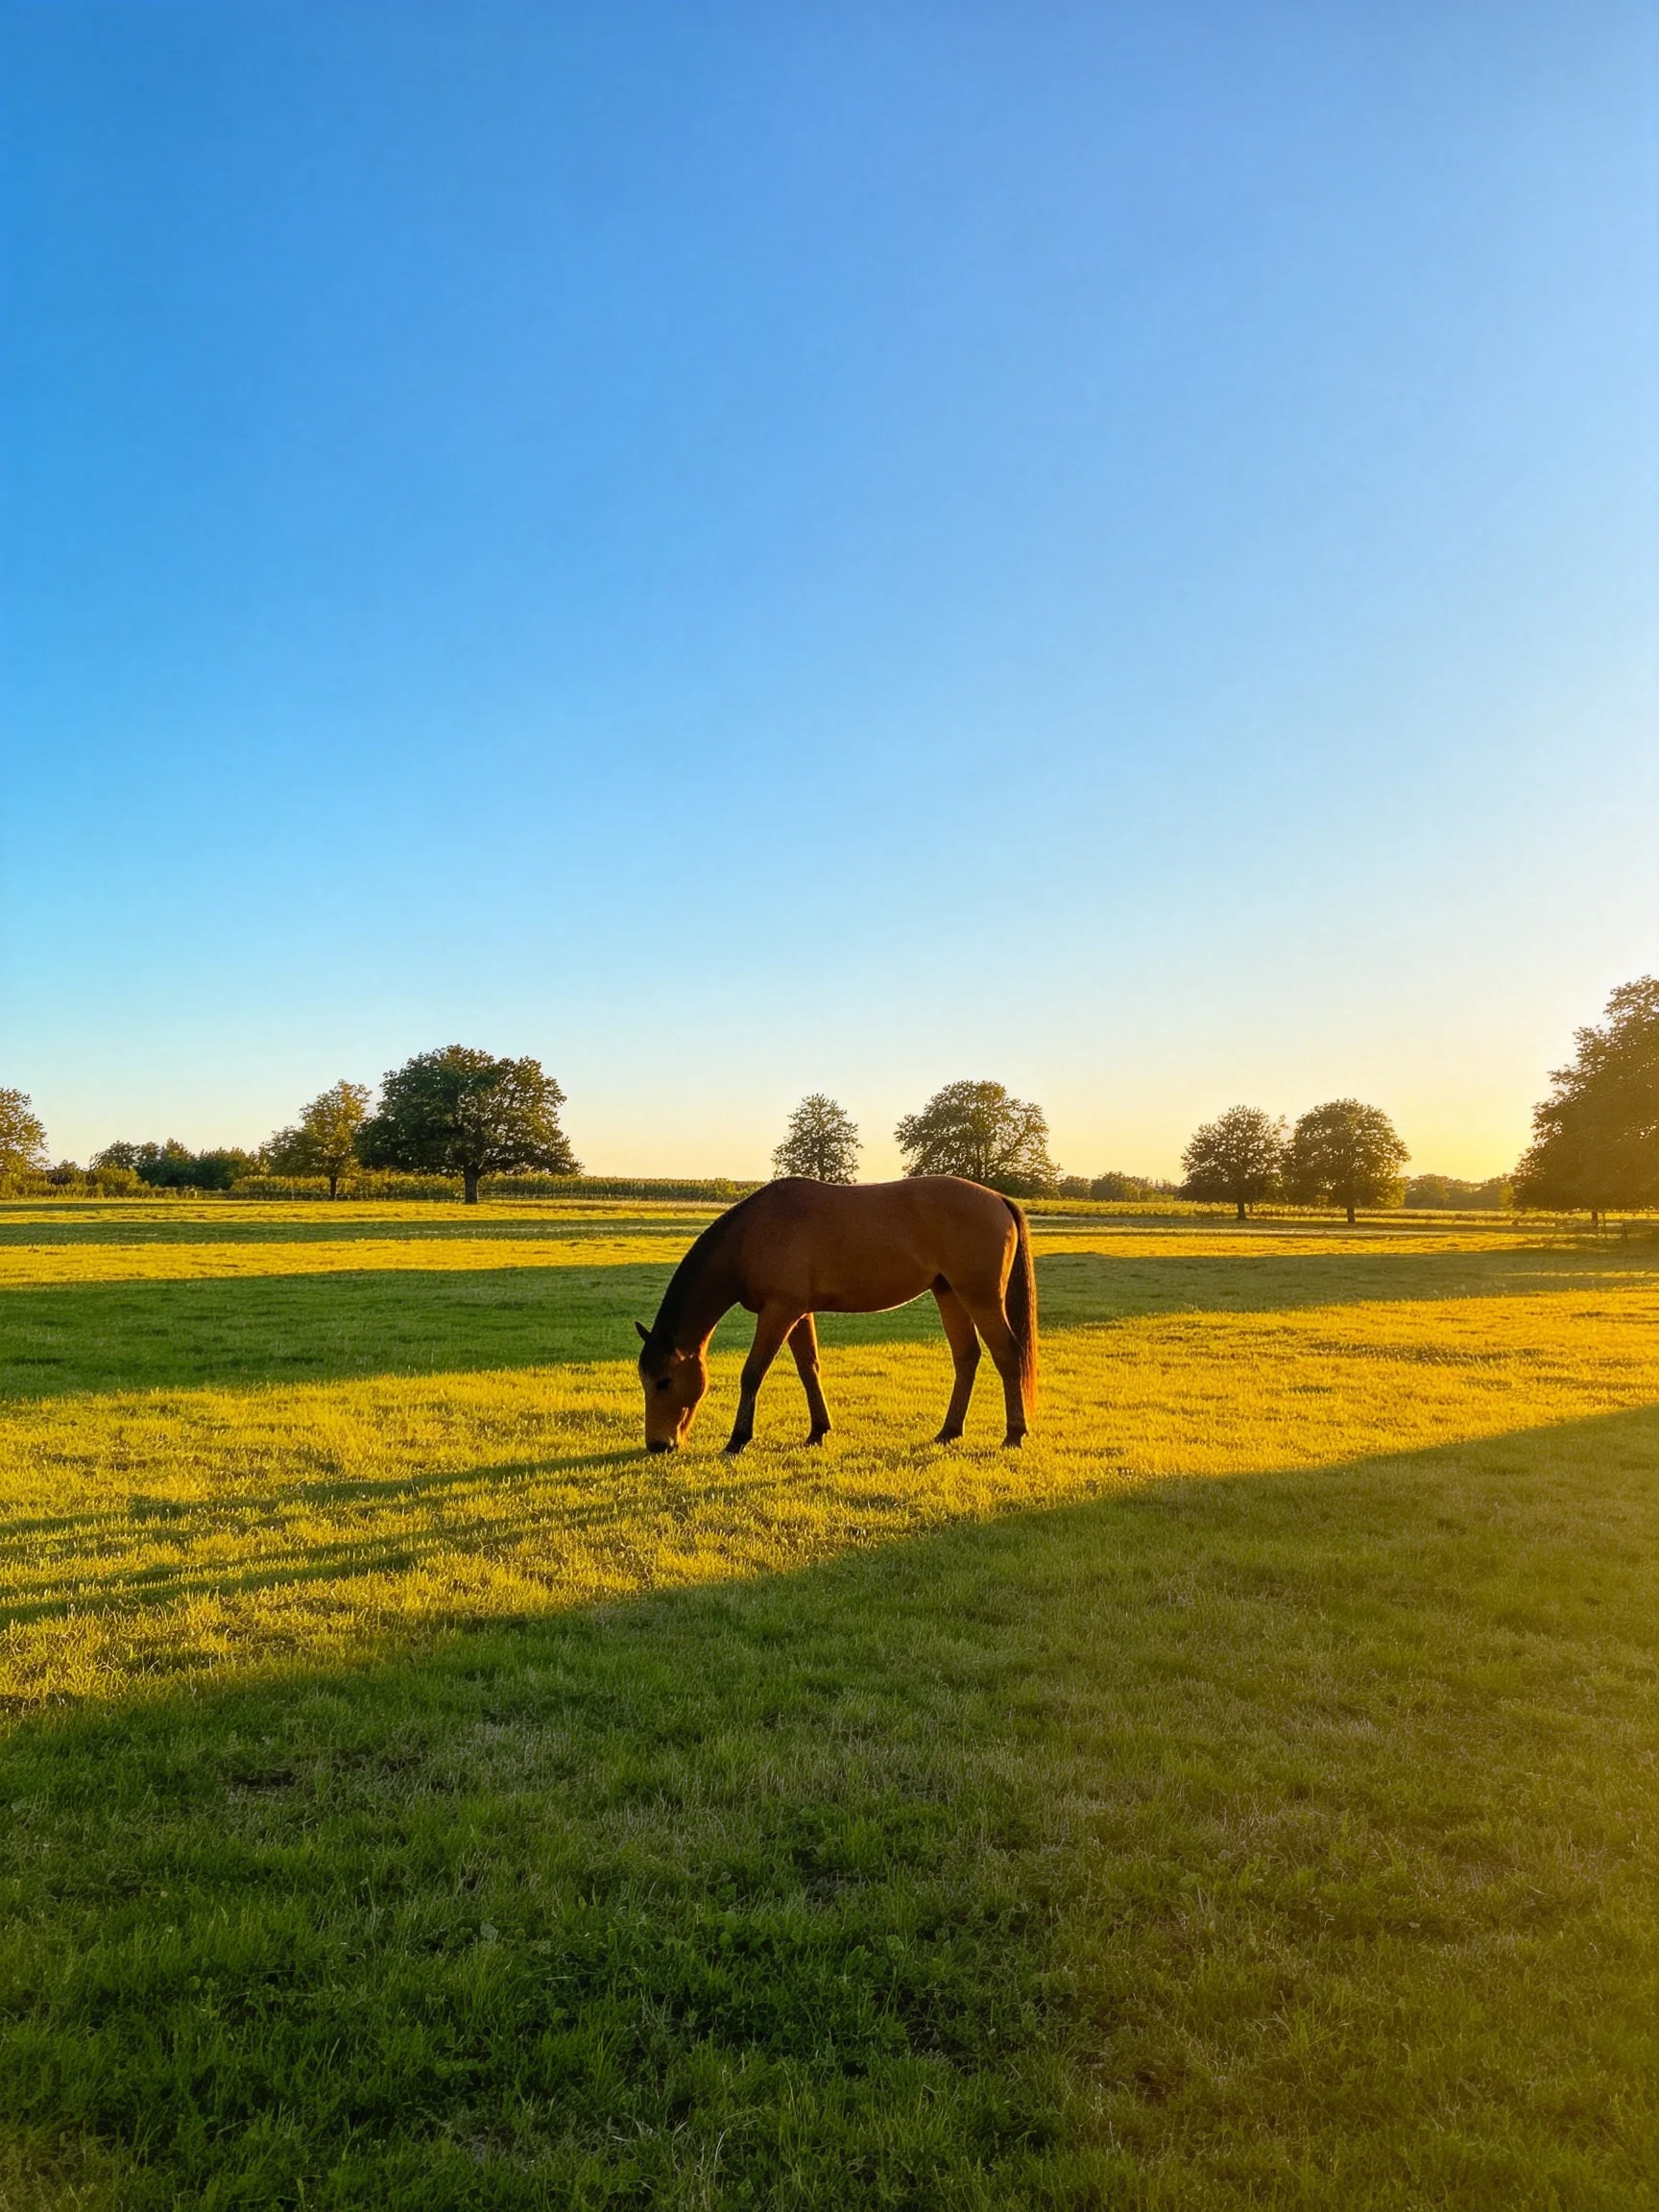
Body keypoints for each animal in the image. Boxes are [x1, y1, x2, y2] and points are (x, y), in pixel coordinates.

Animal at [634, 1175, 1038, 1454]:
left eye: (664, 1381)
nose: (658, 1445)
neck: (753, 1234)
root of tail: (998, 1199)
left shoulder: (779, 1312)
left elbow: (753, 1373)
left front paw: (738, 1439)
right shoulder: (797, 1313)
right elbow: (809, 1369)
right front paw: (817, 1431)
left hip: (980, 1298)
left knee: (1007, 1354)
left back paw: (1014, 1434)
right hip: (949, 1293)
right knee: (967, 1356)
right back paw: (949, 1431)